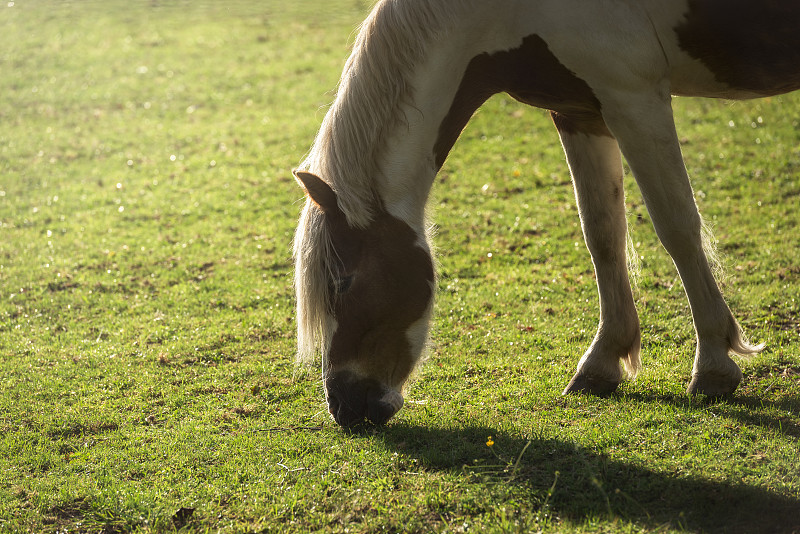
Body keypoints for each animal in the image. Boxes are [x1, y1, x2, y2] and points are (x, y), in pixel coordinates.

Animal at [294, 0, 800, 428]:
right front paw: (602, 362)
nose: (342, 405)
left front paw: (713, 365)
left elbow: (676, 225)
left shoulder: (634, 97)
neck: (503, 12)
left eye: (342, 283)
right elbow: (602, 234)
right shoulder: (579, 110)